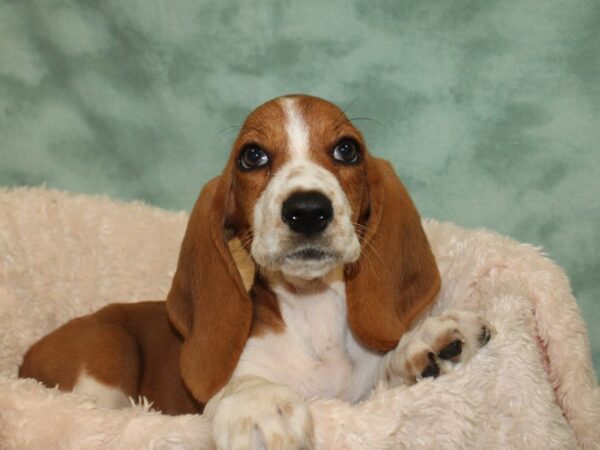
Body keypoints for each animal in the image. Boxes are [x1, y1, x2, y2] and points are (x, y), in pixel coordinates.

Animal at [21, 95, 494, 450]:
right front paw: (260, 406)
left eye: (347, 149)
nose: (308, 210)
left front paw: (424, 343)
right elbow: (241, 387)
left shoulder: (361, 403)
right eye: (252, 156)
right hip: (104, 356)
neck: (314, 314)